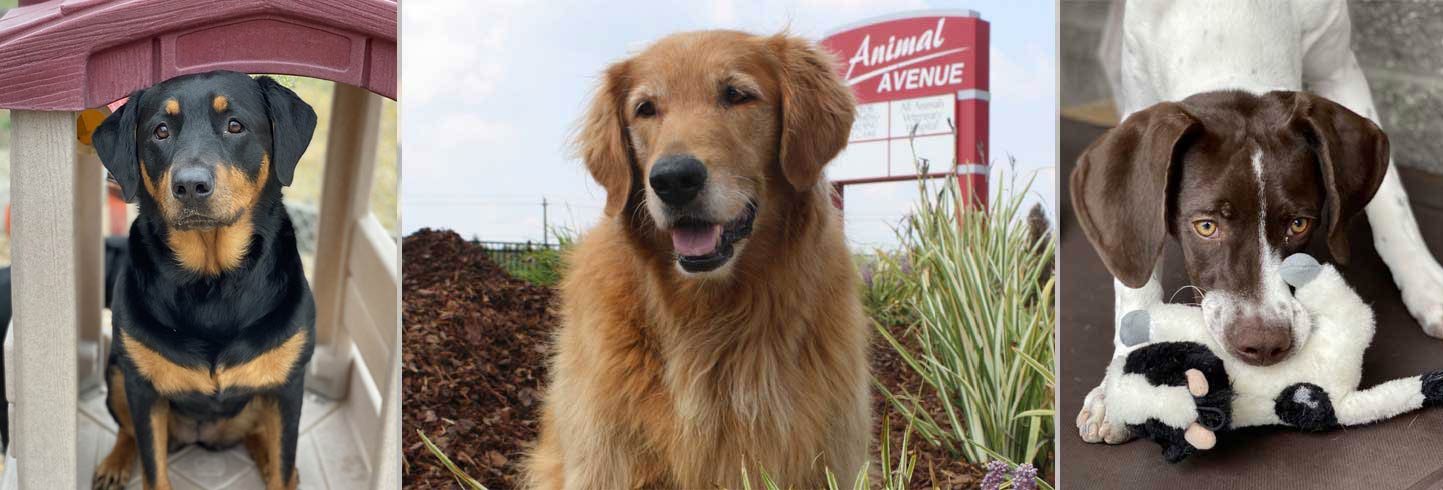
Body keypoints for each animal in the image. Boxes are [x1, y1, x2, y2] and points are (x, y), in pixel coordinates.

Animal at [90, 69, 318, 489]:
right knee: (127, 431)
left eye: (235, 125)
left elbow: (283, 458)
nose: (190, 185)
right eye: (160, 131)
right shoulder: (142, 388)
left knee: (262, 437)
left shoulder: (288, 386)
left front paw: (281, 469)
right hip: (116, 373)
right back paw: (115, 463)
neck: (213, 279)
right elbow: (153, 469)